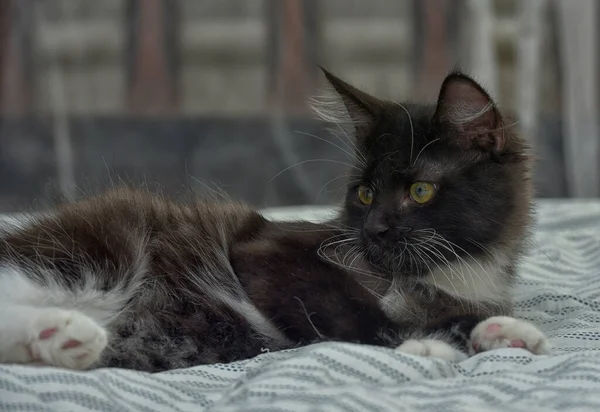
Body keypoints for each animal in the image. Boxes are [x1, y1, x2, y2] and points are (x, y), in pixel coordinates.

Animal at [0, 69, 548, 372]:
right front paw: (420, 344)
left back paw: (63, 341)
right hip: (97, 254)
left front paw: (502, 332)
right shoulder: (267, 252)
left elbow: (458, 314)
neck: (446, 271)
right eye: (366, 193)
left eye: (419, 191)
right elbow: (355, 311)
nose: (374, 229)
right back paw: (62, 330)